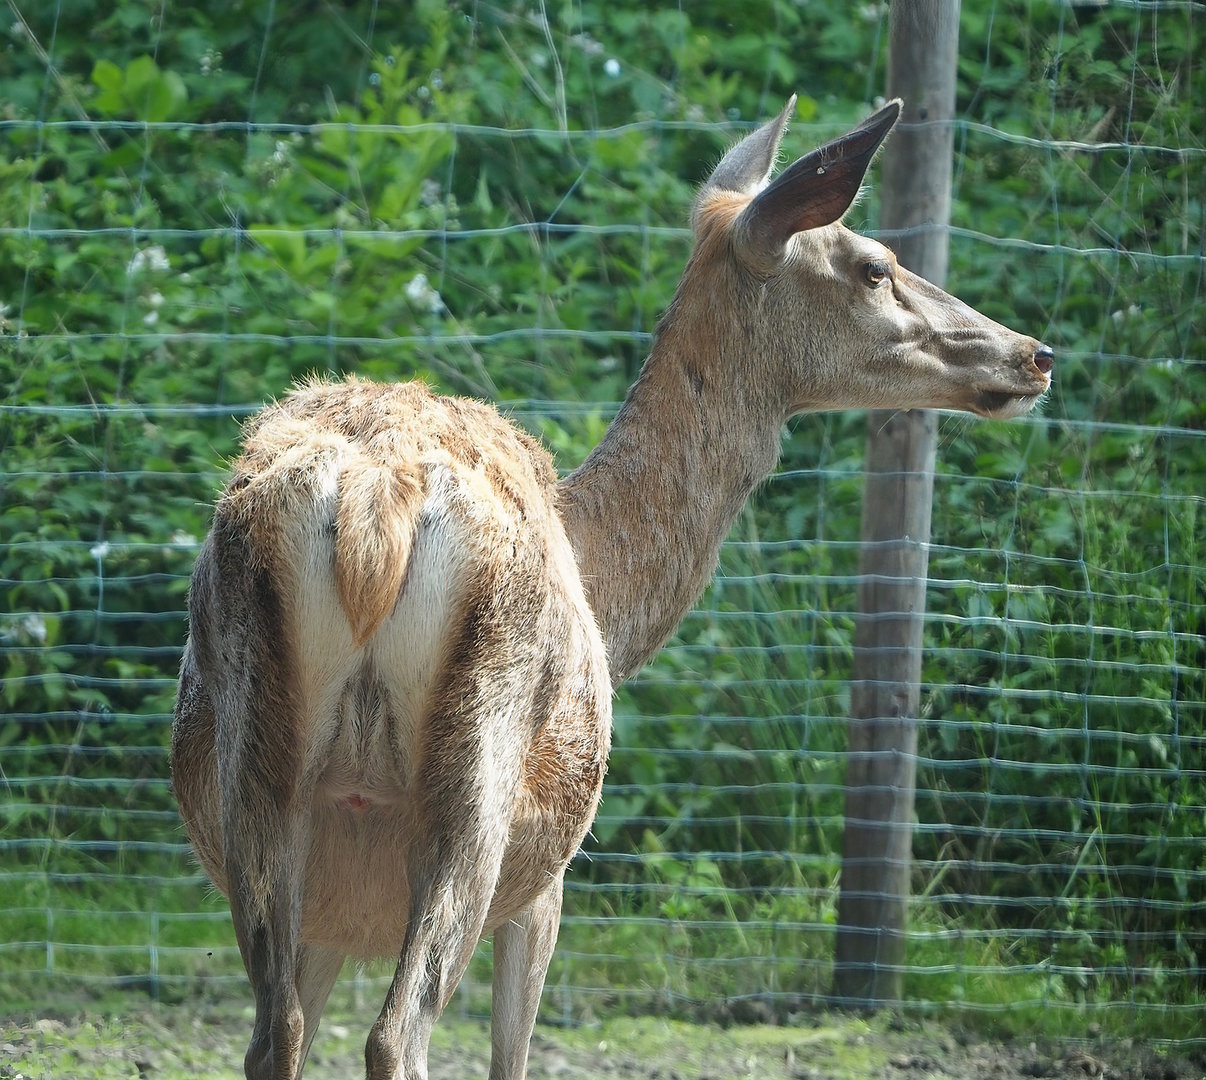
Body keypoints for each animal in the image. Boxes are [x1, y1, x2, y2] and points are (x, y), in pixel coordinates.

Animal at [170, 94, 1053, 1080]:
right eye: (875, 265)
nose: (1034, 353)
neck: (607, 582)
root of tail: (373, 513)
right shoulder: (545, 890)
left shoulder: (334, 910)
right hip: (482, 785)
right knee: (400, 1030)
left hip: (265, 776)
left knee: (273, 1034)